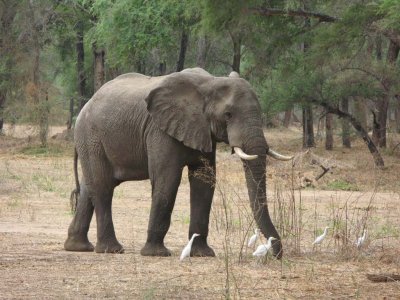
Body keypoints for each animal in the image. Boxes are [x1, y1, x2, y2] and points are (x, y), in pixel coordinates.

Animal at [64, 67, 292, 258]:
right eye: (228, 115)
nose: (276, 255)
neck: (210, 82)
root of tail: (86, 104)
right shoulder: (160, 130)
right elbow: (167, 180)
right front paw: (156, 254)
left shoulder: (202, 132)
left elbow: (204, 182)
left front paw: (202, 254)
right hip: (91, 137)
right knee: (102, 187)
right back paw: (111, 250)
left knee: (90, 187)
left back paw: (78, 247)